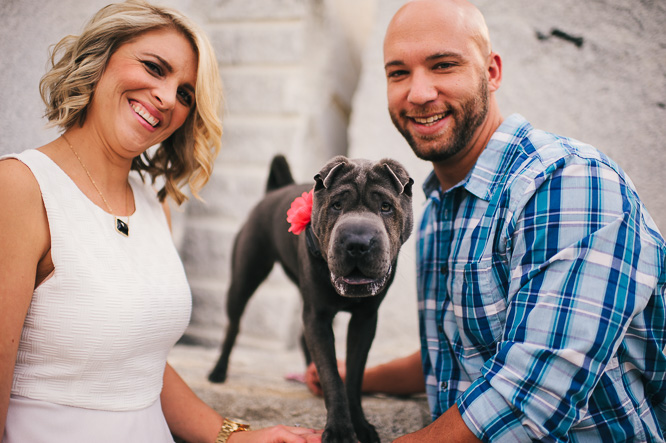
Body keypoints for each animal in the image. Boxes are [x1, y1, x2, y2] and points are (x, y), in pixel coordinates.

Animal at [210, 156, 412, 443]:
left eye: (386, 206)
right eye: (336, 205)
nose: (358, 242)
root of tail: (274, 191)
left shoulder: (364, 321)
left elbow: (353, 376)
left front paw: (360, 425)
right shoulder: (317, 316)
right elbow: (332, 375)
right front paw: (339, 430)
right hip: (243, 279)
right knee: (233, 326)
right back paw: (218, 371)